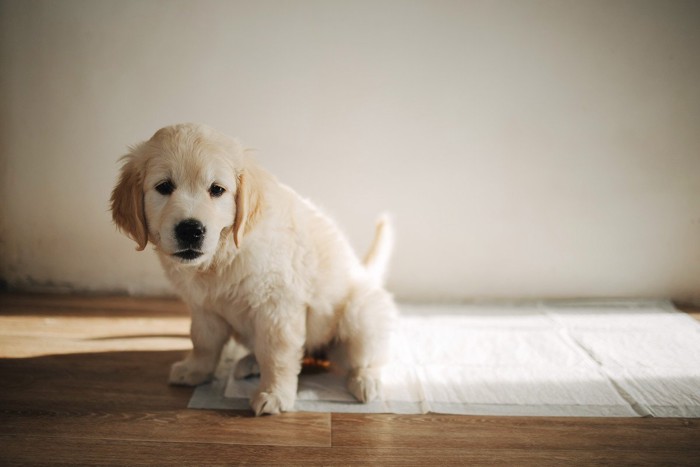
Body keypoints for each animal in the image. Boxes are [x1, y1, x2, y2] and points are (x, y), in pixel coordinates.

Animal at [108, 122, 394, 414]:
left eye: (217, 190)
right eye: (164, 187)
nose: (190, 230)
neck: (222, 258)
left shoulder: (277, 307)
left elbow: (276, 353)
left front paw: (274, 393)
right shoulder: (203, 307)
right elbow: (203, 342)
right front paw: (196, 370)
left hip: (360, 315)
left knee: (368, 357)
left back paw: (366, 381)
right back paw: (249, 363)